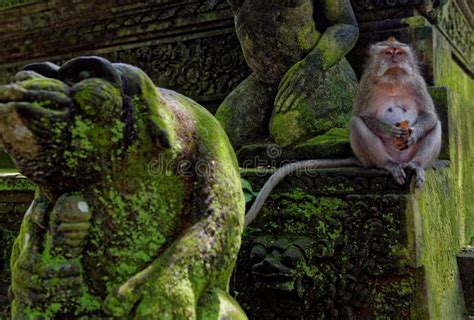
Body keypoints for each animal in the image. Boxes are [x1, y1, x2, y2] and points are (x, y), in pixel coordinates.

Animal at [243, 38, 442, 228]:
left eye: (399, 53)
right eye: (387, 53)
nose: (394, 58)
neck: (393, 83)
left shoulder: (418, 83)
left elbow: (430, 115)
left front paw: (412, 134)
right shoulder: (366, 84)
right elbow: (361, 116)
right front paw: (392, 131)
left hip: (408, 156)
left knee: (436, 125)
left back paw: (416, 165)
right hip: (371, 157)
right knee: (357, 124)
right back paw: (387, 164)